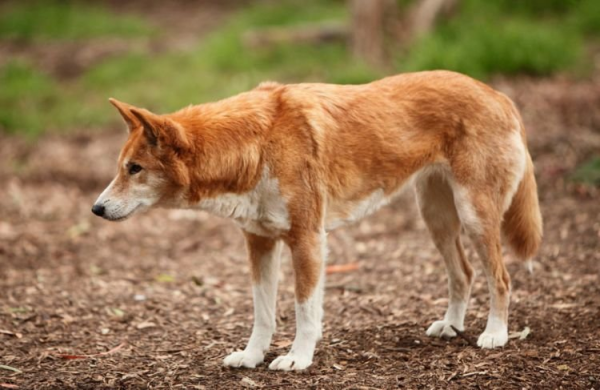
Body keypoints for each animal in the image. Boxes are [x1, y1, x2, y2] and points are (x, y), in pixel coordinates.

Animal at [92, 71, 544, 372]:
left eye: (135, 169)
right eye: (121, 168)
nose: (96, 209)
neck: (256, 145)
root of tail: (498, 94)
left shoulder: (307, 240)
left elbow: (304, 310)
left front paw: (297, 358)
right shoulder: (260, 244)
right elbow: (263, 313)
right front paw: (252, 356)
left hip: (474, 216)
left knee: (500, 277)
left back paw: (495, 334)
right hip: (436, 217)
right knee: (464, 273)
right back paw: (451, 327)